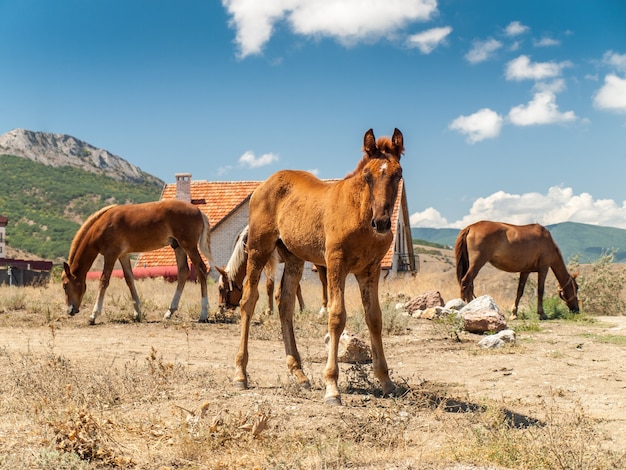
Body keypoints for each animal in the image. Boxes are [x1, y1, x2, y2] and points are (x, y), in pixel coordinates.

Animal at [61, 200, 212, 324]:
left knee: (201, 269)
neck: (102, 226)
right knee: (183, 272)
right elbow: (129, 280)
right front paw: (137, 313)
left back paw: (203, 314)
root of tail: (199, 211)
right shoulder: (123, 255)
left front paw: (93, 315)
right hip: (178, 246)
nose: (70, 310)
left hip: (189, 246)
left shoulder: (111, 254)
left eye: (65, 285)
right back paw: (169, 312)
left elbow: (104, 281)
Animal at [232, 127, 402, 404]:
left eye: (398, 174)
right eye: (367, 176)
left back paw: (299, 374)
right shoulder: (335, 264)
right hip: (258, 250)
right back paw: (240, 374)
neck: (358, 213)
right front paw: (332, 386)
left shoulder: (371, 269)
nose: (382, 222)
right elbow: (336, 316)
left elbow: (374, 318)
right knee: (248, 301)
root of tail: (262, 187)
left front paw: (386, 381)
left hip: (293, 258)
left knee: (285, 305)